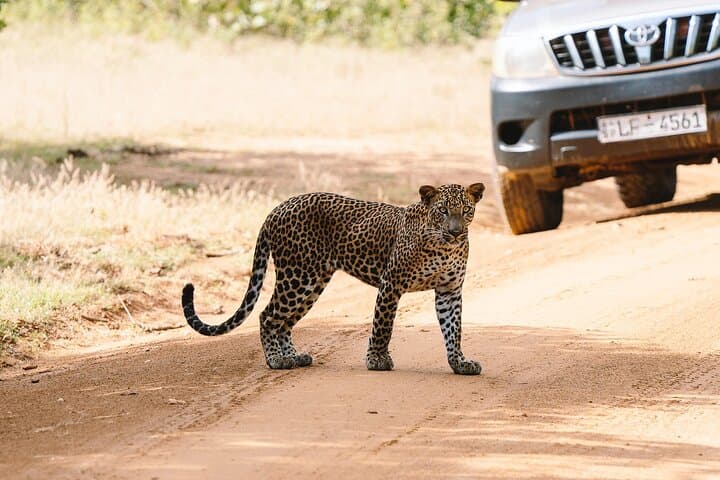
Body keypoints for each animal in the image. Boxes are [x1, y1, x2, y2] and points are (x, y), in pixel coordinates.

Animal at [181, 182, 486, 375]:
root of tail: (276, 209)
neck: (444, 246)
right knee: (268, 316)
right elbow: (383, 326)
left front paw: (459, 363)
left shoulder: (449, 290)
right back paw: (276, 360)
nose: (456, 231)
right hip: (298, 276)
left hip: (312, 282)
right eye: (442, 211)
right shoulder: (391, 284)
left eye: (466, 211)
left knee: (283, 323)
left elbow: (453, 329)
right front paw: (377, 359)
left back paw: (293, 357)